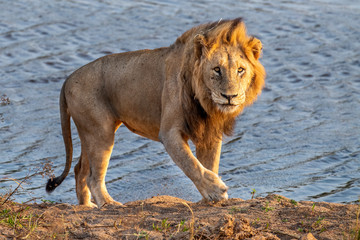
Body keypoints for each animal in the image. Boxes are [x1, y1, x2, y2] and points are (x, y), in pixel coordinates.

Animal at [45, 17, 264, 207]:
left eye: (240, 70)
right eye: (217, 69)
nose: (230, 96)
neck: (206, 101)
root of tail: (68, 80)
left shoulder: (209, 132)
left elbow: (209, 163)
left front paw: (208, 196)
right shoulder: (168, 132)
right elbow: (191, 163)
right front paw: (216, 190)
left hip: (90, 133)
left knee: (79, 169)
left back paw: (86, 207)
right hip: (101, 133)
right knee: (92, 176)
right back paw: (109, 204)